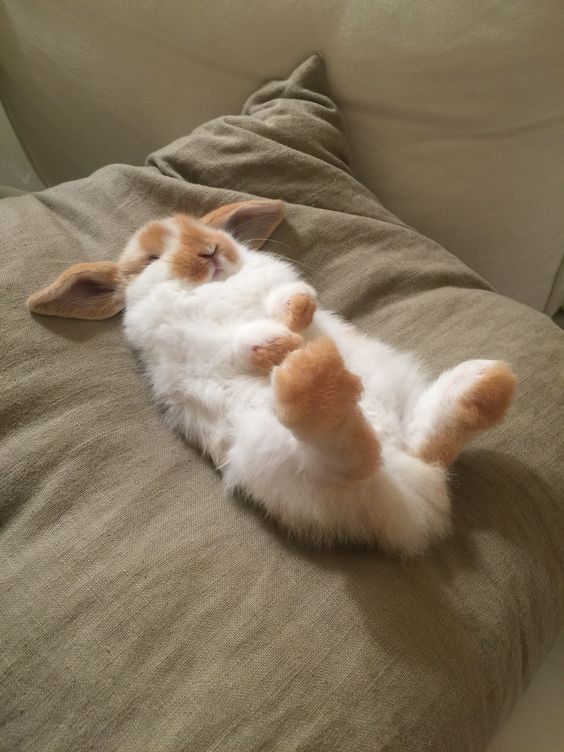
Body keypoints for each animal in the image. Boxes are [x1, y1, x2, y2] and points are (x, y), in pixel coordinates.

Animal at [27, 199, 516, 555]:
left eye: (211, 232)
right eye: (151, 258)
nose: (209, 251)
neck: (215, 287)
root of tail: (413, 494)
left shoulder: (276, 285)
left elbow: (293, 296)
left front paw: (295, 320)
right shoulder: (188, 343)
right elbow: (237, 344)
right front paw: (280, 346)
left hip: (398, 390)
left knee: (427, 444)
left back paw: (484, 383)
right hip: (283, 458)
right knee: (353, 457)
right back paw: (314, 377)